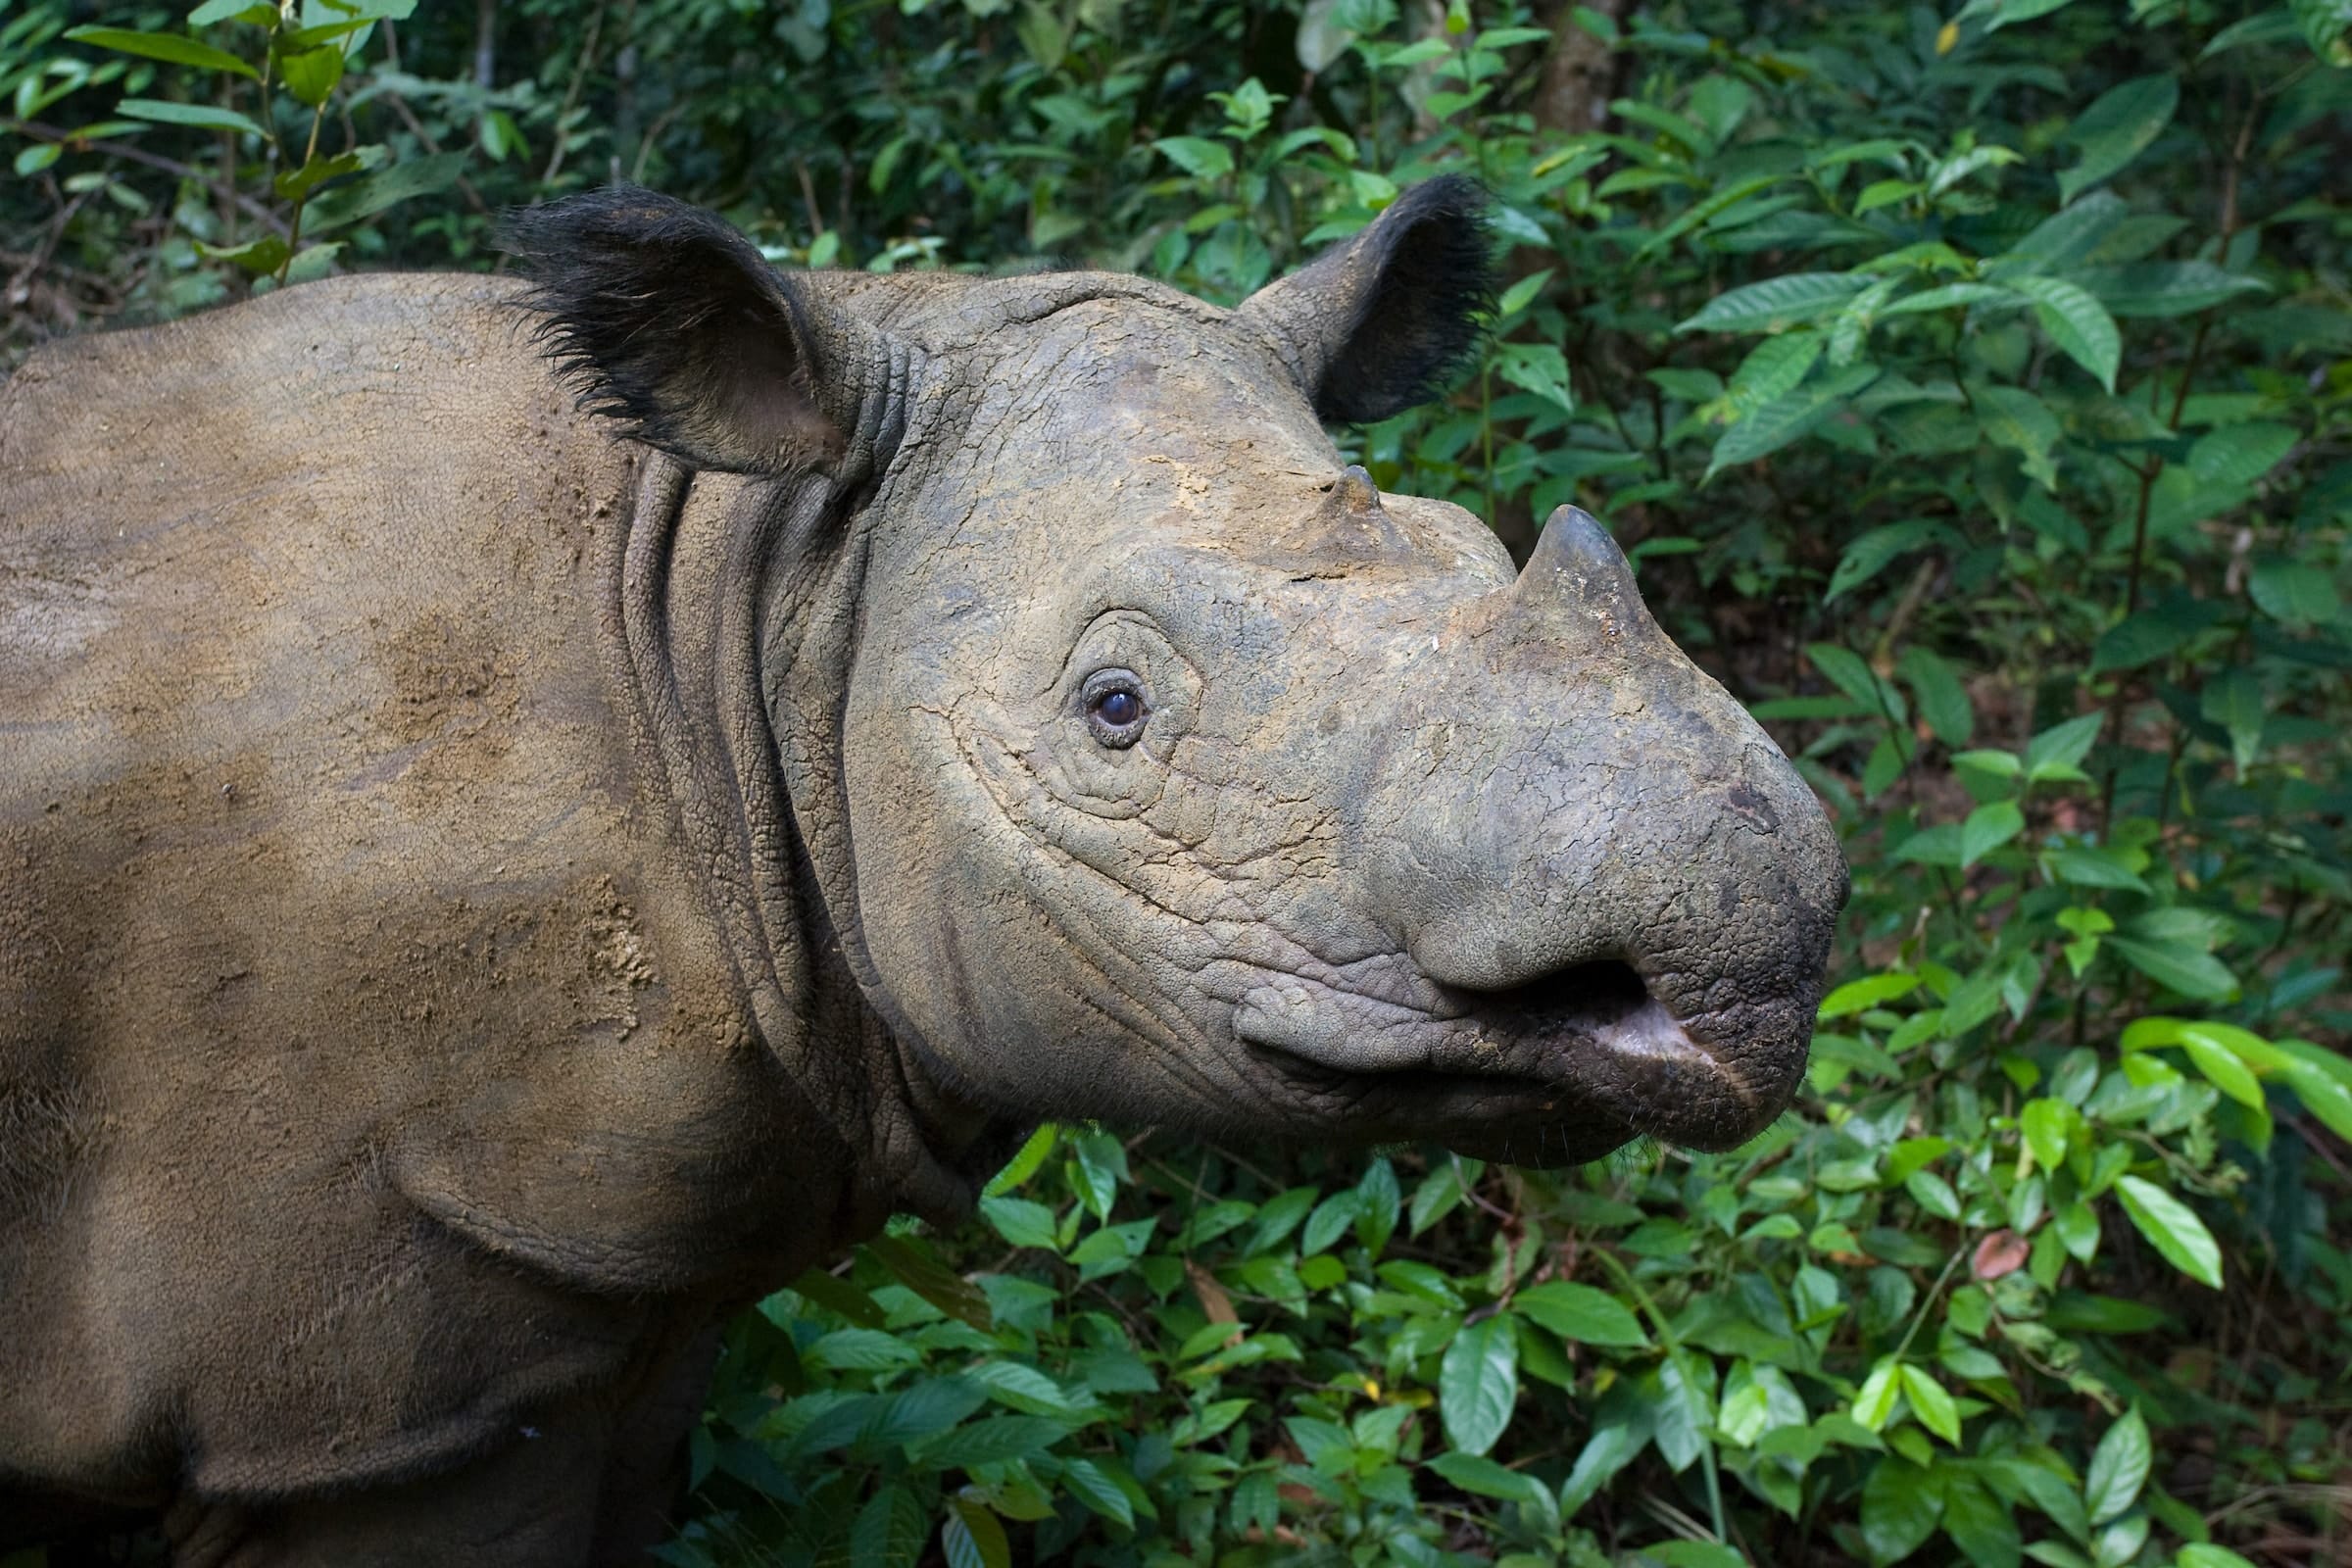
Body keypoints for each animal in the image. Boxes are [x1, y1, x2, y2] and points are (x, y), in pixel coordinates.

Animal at [0, 177, 1844, 1562]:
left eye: (1474, 551)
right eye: (1114, 710)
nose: (1745, 950)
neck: (748, 595)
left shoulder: (628, 1281)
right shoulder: (391, 1396)